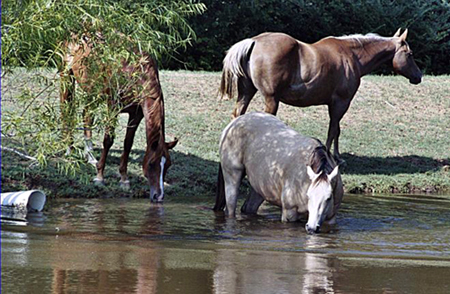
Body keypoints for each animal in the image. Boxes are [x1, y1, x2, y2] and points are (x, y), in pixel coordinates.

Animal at [59, 32, 178, 202]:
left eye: (167, 164)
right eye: (151, 163)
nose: (158, 196)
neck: (133, 70)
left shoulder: (136, 114)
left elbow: (128, 144)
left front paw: (124, 179)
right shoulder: (113, 107)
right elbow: (108, 140)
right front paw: (99, 177)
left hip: (92, 91)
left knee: (86, 115)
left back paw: (90, 156)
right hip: (67, 78)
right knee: (66, 110)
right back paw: (68, 149)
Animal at [220, 28, 424, 163]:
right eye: (410, 53)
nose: (419, 76)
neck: (352, 55)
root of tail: (253, 41)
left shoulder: (334, 104)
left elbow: (337, 129)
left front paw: (338, 156)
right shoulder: (341, 102)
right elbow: (333, 130)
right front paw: (331, 156)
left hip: (247, 93)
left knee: (237, 115)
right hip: (271, 99)